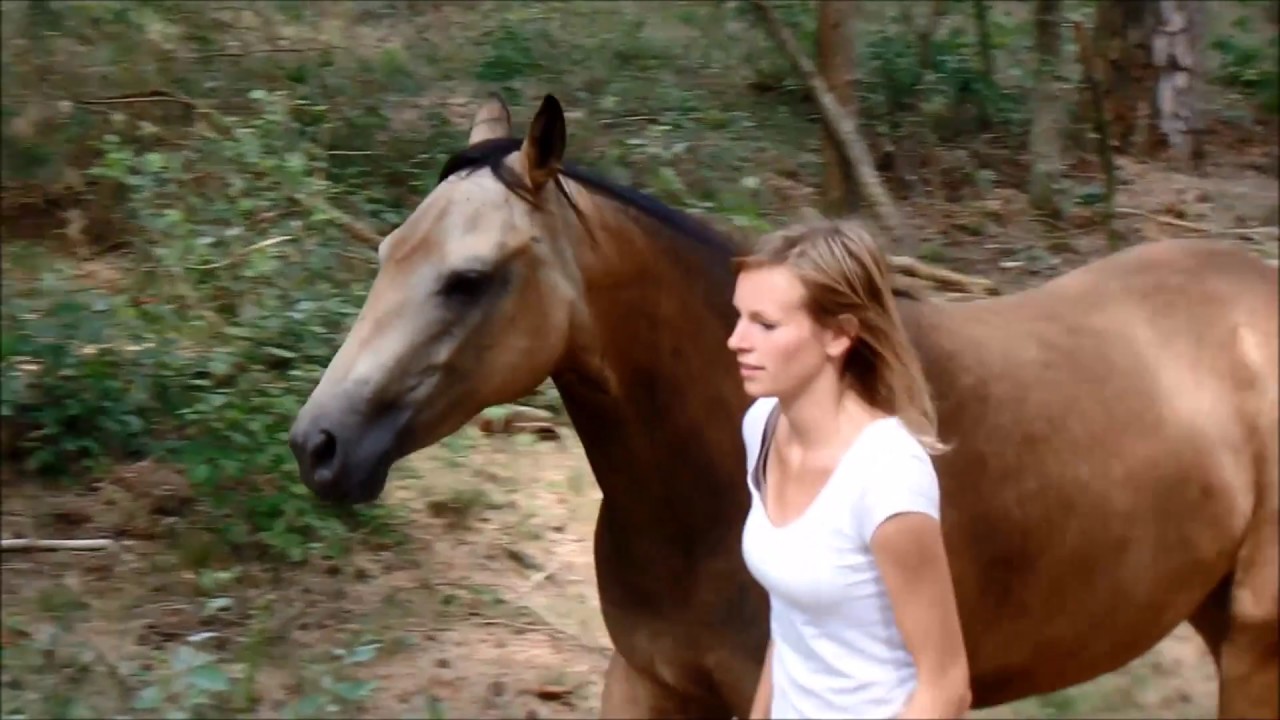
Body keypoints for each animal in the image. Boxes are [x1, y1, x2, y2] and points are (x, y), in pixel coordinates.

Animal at [288, 93, 1279, 719]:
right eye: (387, 251)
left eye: (468, 279)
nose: (317, 445)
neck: (704, 497)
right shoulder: (647, 682)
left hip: (1256, 645)